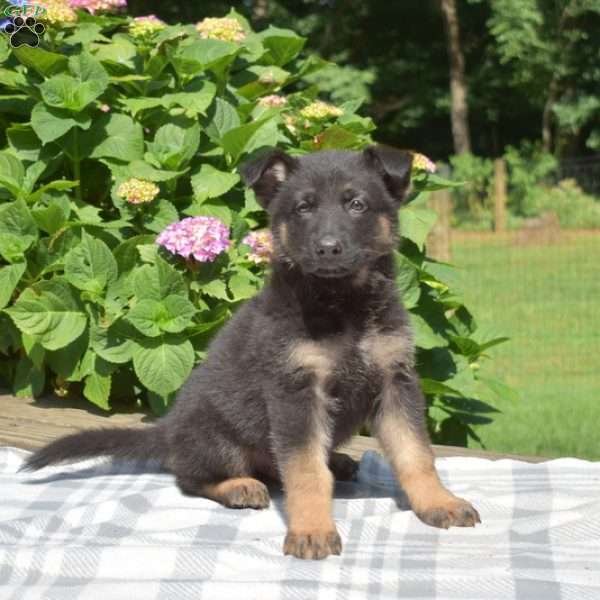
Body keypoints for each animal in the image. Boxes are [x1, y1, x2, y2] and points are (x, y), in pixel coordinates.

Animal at [25, 148, 480, 560]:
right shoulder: (295, 391)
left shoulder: (395, 380)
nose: (328, 248)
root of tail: (167, 431)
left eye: (357, 204)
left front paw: (439, 503)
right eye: (303, 208)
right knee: (190, 477)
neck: (341, 304)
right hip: (220, 439)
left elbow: (416, 454)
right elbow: (305, 471)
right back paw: (238, 486)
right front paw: (312, 529)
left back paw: (338, 461)